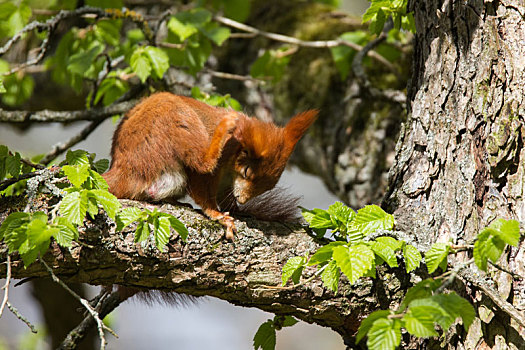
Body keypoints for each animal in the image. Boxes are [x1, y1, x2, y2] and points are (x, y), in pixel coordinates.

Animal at [102, 91, 316, 239]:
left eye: (270, 186)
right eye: (247, 172)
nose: (242, 200)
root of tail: (123, 169)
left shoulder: (226, 183)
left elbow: (225, 197)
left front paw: (239, 210)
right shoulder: (214, 170)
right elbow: (203, 189)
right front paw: (217, 214)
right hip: (170, 117)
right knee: (201, 161)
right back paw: (224, 126)